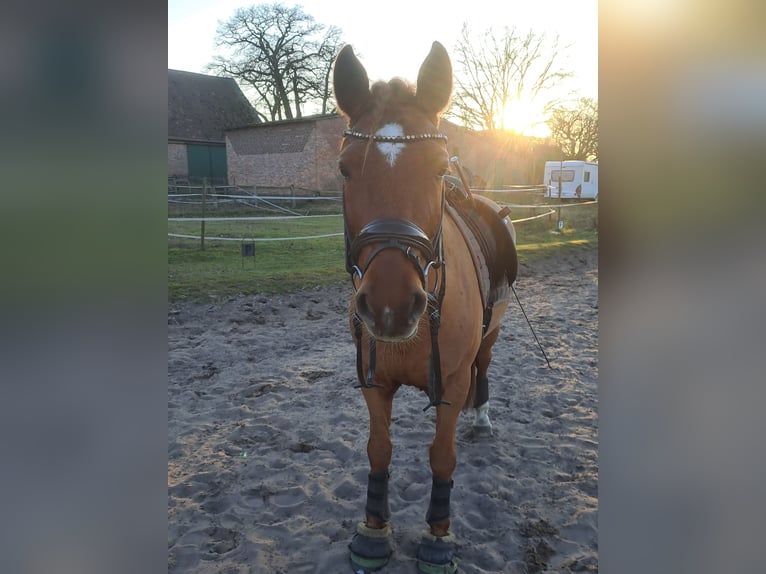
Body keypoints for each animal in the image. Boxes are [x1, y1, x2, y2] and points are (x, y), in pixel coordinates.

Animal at [333, 41, 518, 573]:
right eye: (345, 168)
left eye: (438, 167)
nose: (391, 306)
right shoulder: (373, 380)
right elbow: (378, 450)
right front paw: (374, 531)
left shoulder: (452, 383)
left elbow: (442, 455)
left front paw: (438, 536)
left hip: (491, 338)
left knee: (485, 369)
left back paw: (483, 419)